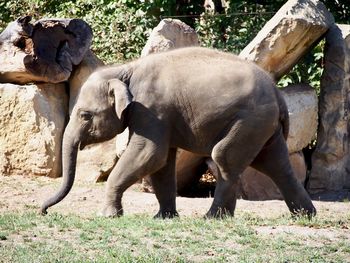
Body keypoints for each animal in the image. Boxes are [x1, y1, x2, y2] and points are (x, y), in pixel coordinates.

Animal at [41, 47, 318, 219]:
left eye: (85, 115)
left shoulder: (151, 109)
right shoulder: (160, 116)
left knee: (225, 157)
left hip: (250, 121)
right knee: (276, 165)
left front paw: (108, 216)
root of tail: (278, 94)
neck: (124, 70)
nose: (43, 211)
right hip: (263, 126)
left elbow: (149, 154)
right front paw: (163, 218)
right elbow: (162, 162)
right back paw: (305, 216)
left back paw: (212, 218)